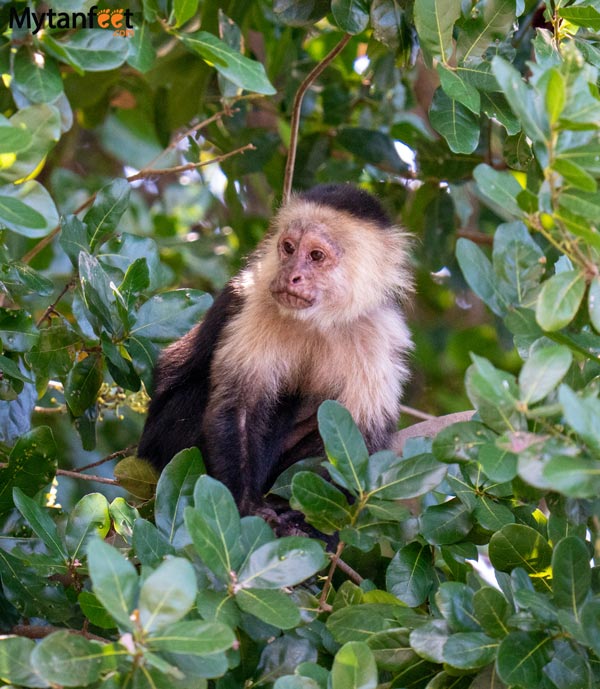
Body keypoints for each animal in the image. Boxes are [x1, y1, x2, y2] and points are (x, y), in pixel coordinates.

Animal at [139, 185, 412, 512]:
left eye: (316, 256)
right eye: (289, 248)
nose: (290, 275)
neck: (319, 321)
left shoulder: (380, 335)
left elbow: (360, 441)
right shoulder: (254, 300)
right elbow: (239, 407)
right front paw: (248, 506)